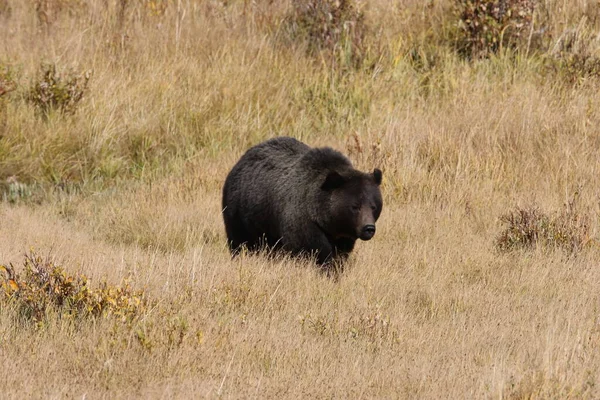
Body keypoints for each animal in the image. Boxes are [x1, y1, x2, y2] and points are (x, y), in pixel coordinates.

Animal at [221, 137, 384, 266]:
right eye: (355, 206)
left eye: (374, 206)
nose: (368, 228)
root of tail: (242, 159)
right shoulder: (301, 219)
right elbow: (313, 249)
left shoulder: (343, 235)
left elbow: (341, 254)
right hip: (240, 212)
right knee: (240, 241)